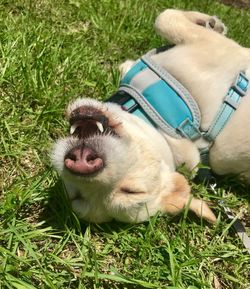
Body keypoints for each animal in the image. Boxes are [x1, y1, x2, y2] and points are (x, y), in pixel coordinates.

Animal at [51, 8, 249, 223]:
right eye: (77, 196)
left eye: (132, 191)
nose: (82, 164)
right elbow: (165, 20)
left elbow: (164, 17)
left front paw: (208, 22)